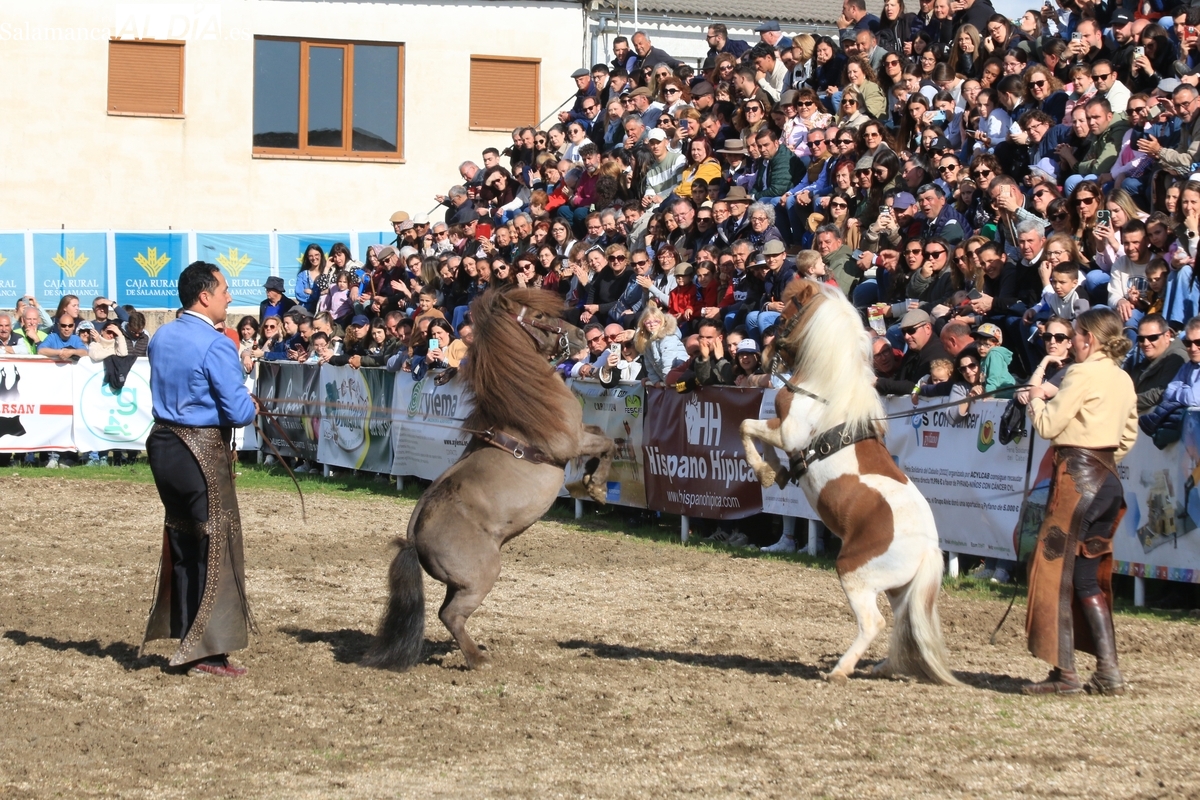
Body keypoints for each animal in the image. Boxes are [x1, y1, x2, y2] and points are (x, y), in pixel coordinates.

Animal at [363, 287, 616, 671]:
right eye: (538, 317)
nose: (581, 335)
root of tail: (413, 537)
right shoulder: (570, 442)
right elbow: (610, 442)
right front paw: (597, 486)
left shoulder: (579, 435)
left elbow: (603, 434)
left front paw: (589, 482)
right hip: (479, 579)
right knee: (450, 615)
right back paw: (478, 659)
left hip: (459, 583)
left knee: (446, 612)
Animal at [739, 279, 961, 686]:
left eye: (783, 313)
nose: (763, 357)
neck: (825, 390)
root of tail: (929, 549)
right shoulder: (784, 432)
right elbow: (758, 435)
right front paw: (777, 471)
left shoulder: (788, 432)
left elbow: (747, 426)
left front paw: (765, 471)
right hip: (898, 589)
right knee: (902, 624)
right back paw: (883, 666)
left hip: (854, 574)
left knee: (873, 623)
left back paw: (841, 670)